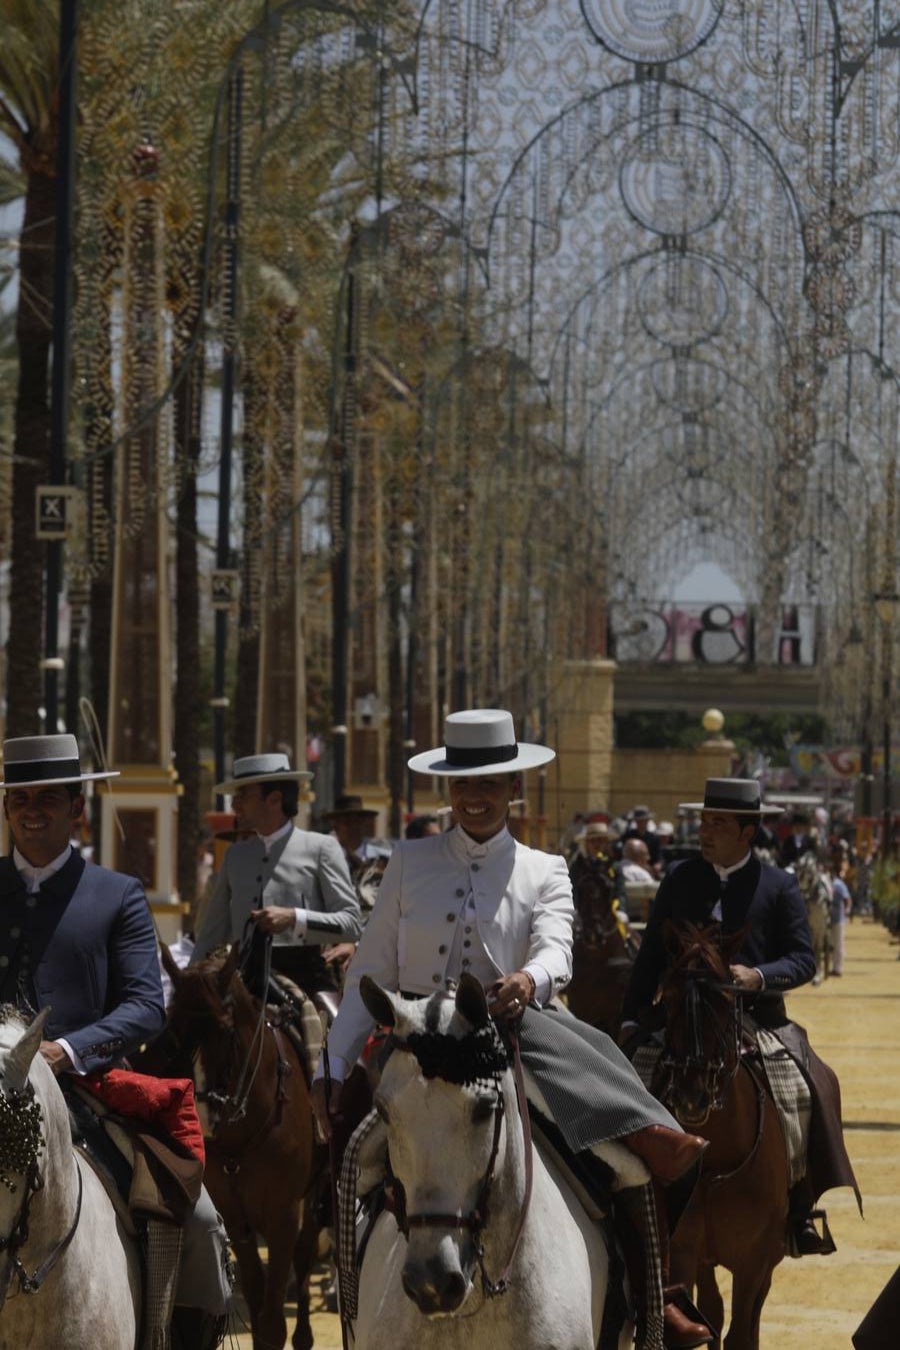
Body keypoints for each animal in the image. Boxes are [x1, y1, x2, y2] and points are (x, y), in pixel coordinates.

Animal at [161, 939, 323, 1350]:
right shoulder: (236, 1218)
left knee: (305, 1253)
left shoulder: (284, 1216)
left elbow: (272, 1324)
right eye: (173, 1029)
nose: (201, 1114)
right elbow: (257, 1300)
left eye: (225, 1030)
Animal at [650, 923, 793, 1350]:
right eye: (669, 998)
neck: (715, 1162)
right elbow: (705, 1319)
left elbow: (742, 1332)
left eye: (725, 997)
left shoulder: (754, 1259)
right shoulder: (684, 1251)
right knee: (711, 1310)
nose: (691, 1095)